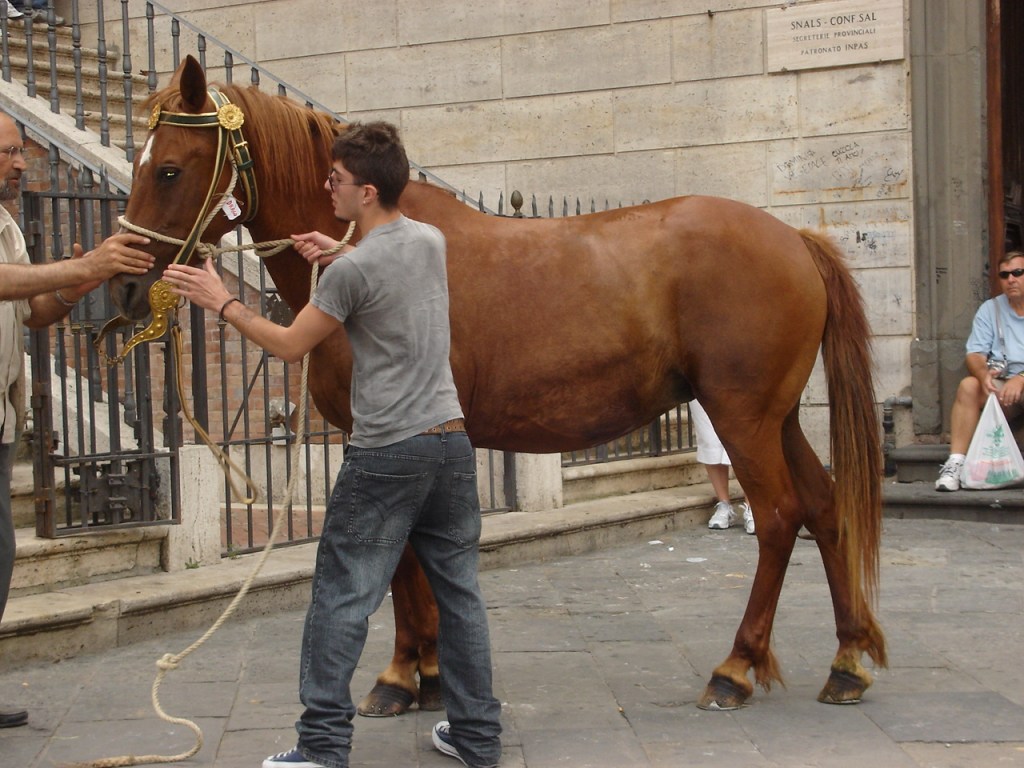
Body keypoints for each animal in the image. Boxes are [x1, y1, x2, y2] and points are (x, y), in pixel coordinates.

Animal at [108, 55, 887, 716]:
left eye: (170, 169)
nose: (125, 283)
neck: (368, 240)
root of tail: (795, 239)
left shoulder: (382, 436)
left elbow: (399, 556)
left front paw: (402, 675)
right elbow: (416, 557)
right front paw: (427, 671)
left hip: (742, 417)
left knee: (780, 516)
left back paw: (736, 668)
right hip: (776, 417)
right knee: (824, 505)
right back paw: (848, 659)